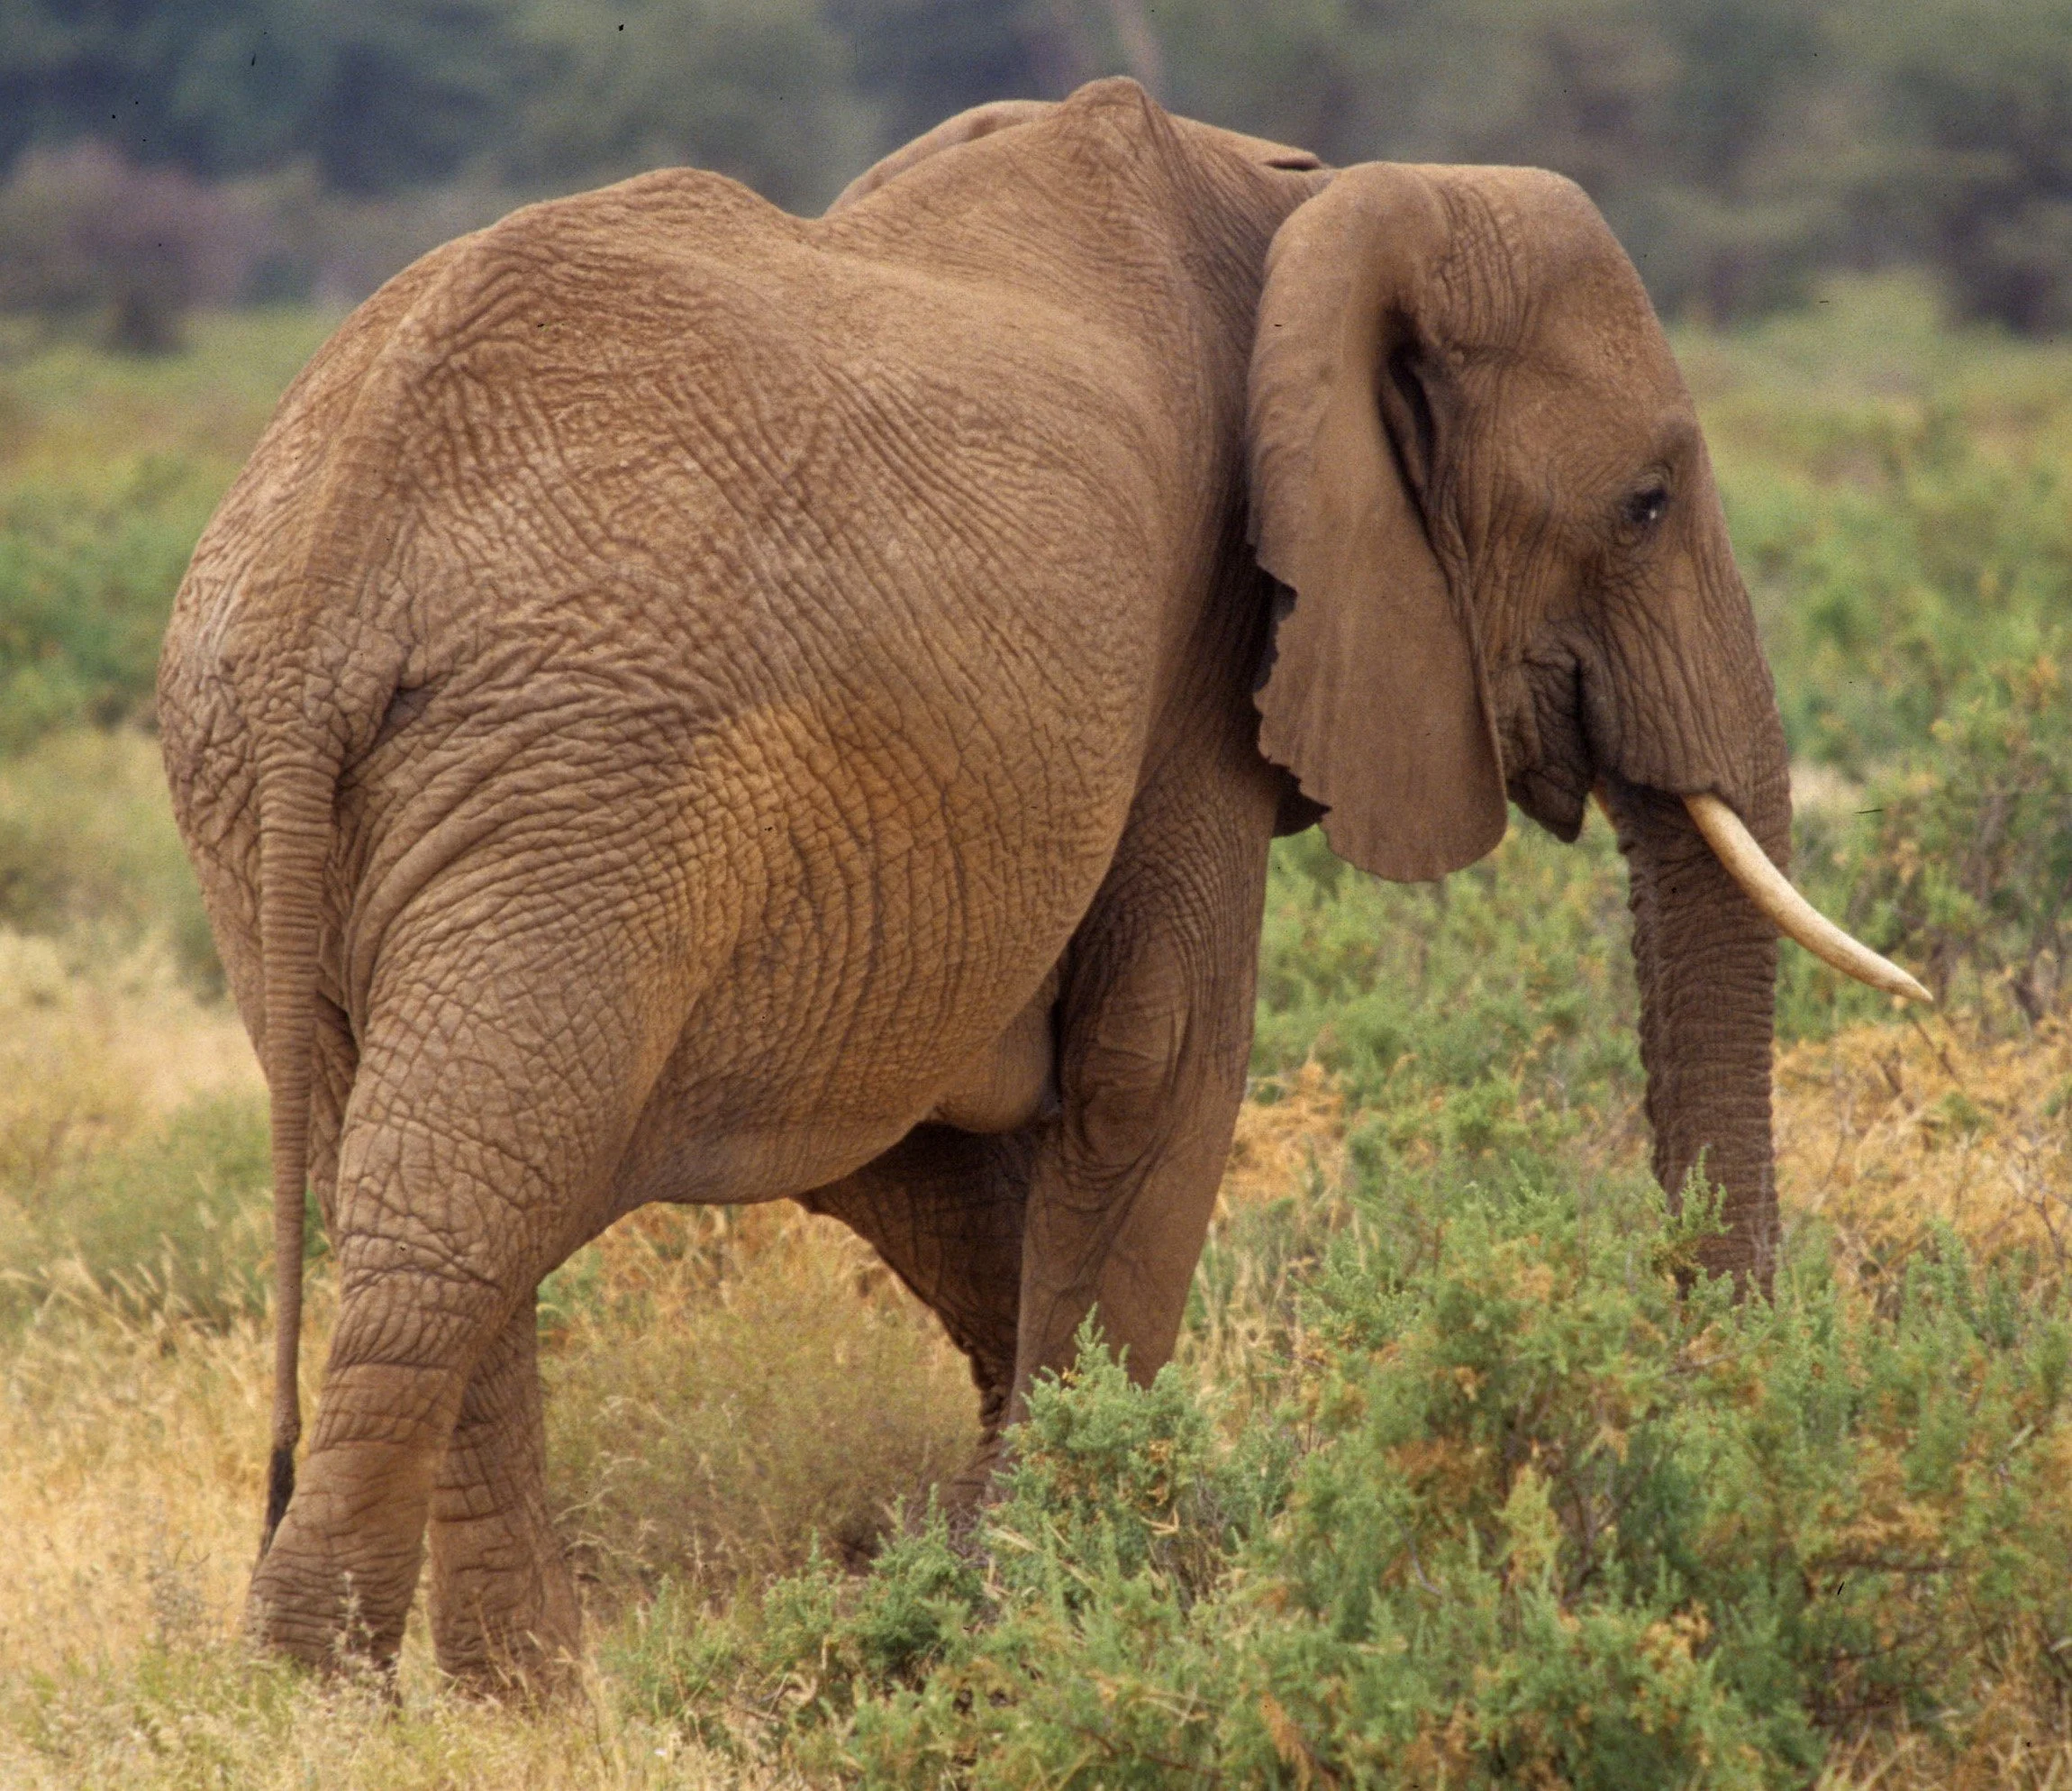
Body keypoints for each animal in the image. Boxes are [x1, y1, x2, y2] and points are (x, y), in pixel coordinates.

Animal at [158, 77, 1921, 1689]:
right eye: (1646, 502)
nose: (1721, 1405)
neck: (1315, 201)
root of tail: (328, 553)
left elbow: (935, 1146)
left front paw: (1003, 1567)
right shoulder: (1203, 652)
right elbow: (1160, 1065)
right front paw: (1062, 1609)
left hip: (300, 786)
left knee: (418, 1176)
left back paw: (520, 1699)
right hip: (575, 781)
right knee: (467, 1199)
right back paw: (325, 1693)